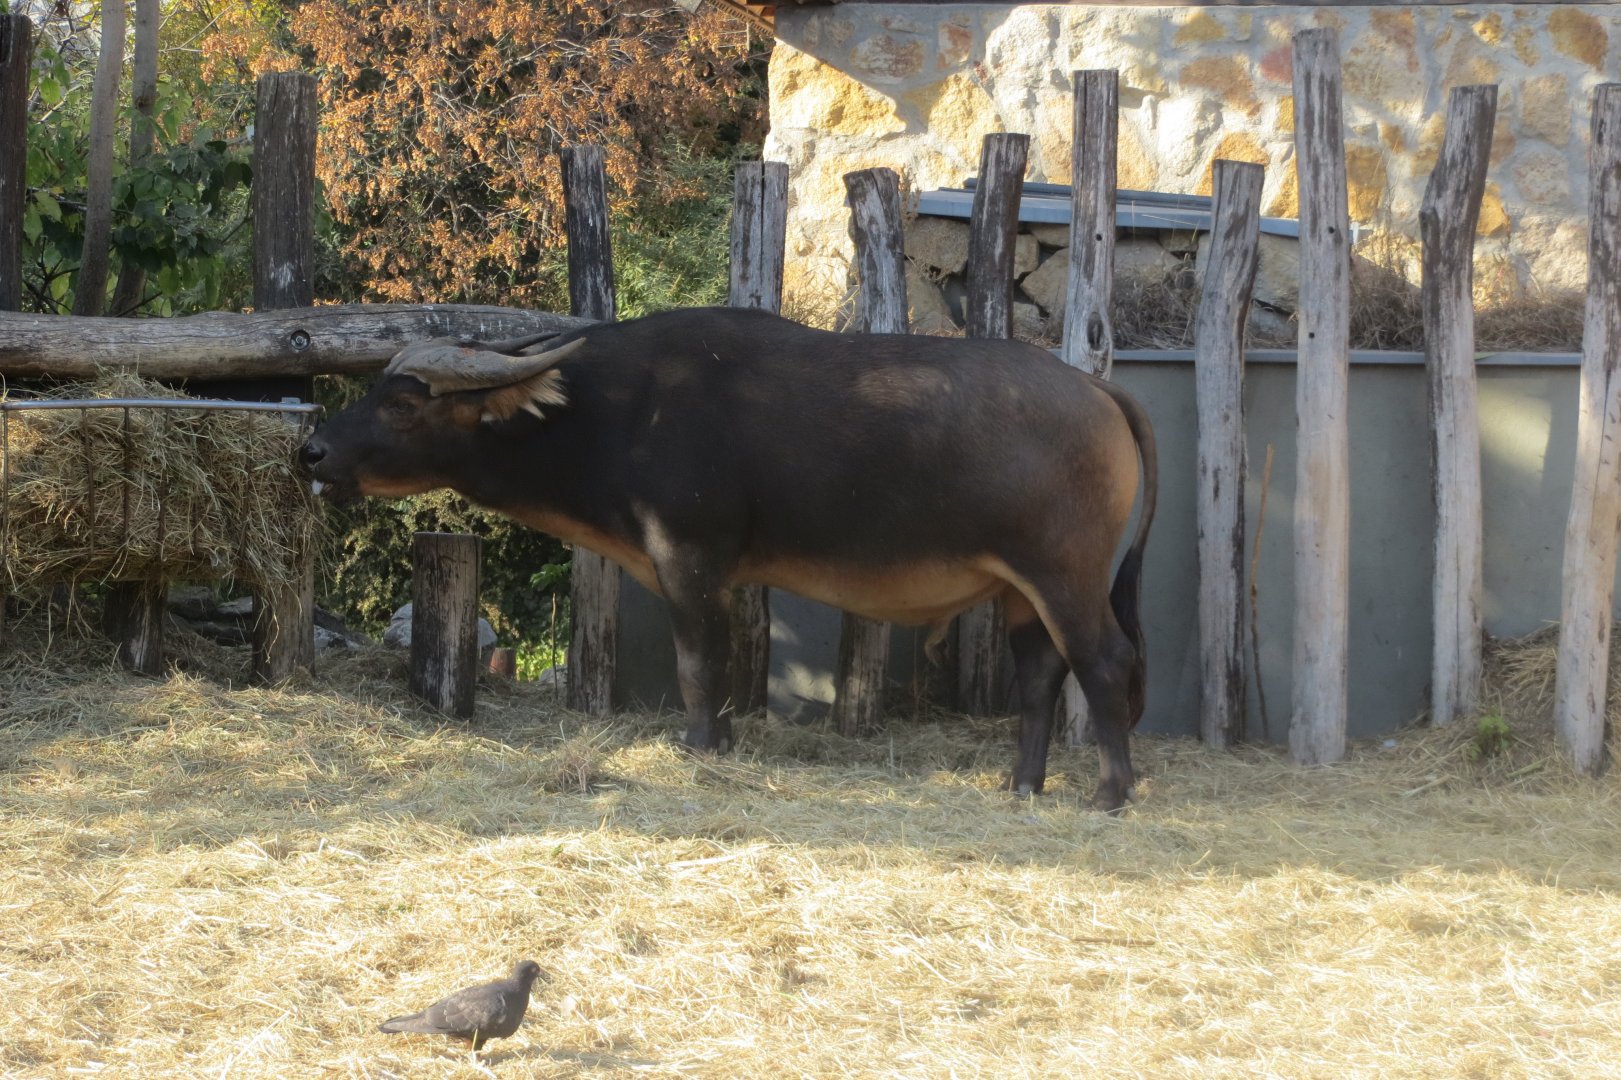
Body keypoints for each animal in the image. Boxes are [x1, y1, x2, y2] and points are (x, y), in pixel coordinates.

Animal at [301, 307, 1157, 810]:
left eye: (401, 403)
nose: (311, 450)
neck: (622, 412)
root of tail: (1094, 389)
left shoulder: (688, 558)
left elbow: (698, 665)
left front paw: (701, 746)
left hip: (1065, 574)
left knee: (1104, 660)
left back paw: (1109, 791)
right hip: (1019, 589)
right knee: (1040, 672)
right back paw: (1022, 783)